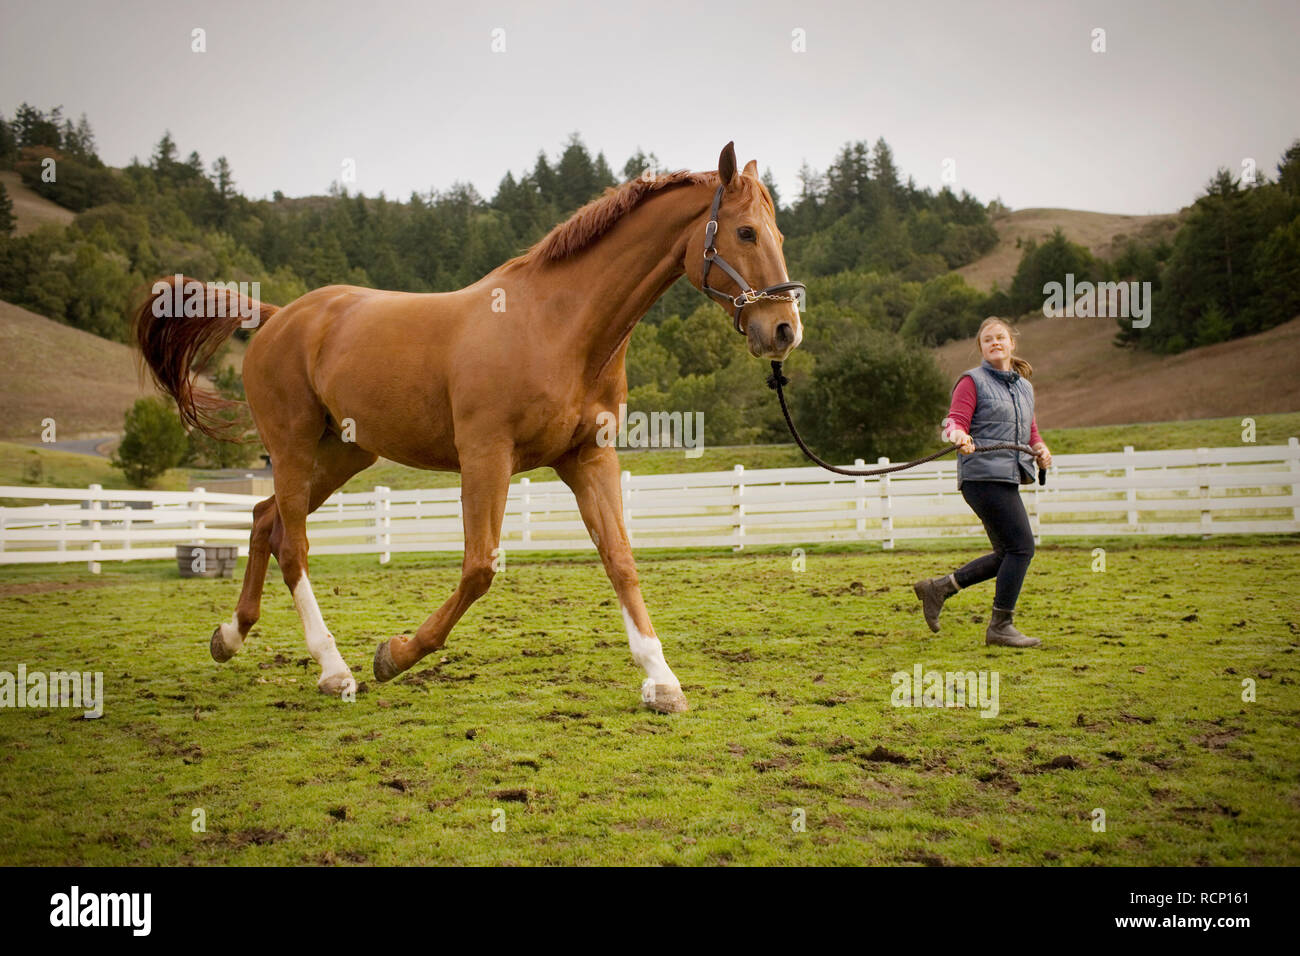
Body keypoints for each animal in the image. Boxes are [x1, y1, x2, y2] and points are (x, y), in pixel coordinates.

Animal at [132, 141, 803, 713]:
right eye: (744, 231)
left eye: (778, 232)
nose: (783, 330)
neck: (558, 327)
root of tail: (278, 316)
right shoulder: (486, 456)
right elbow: (480, 567)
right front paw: (394, 655)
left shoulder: (589, 459)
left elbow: (620, 559)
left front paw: (661, 681)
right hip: (294, 447)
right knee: (292, 543)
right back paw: (334, 670)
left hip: (344, 454)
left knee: (264, 520)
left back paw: (230, 636)